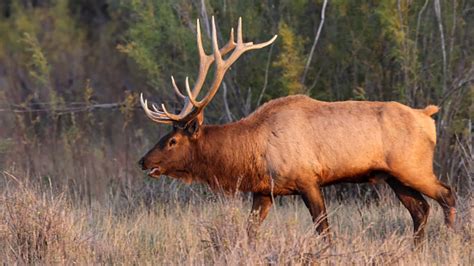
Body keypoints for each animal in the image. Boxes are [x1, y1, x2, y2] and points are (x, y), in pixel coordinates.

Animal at [138, 16, 456, 245]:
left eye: (172, 140)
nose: (143, 161)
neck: (251, 151)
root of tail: (427, 116)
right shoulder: (264, 190)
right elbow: (250, 232)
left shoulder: (307, 179)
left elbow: (324, 230)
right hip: (394, 176)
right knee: (420, 210)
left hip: (413, 166)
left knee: (446, 195)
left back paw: (449, 239)